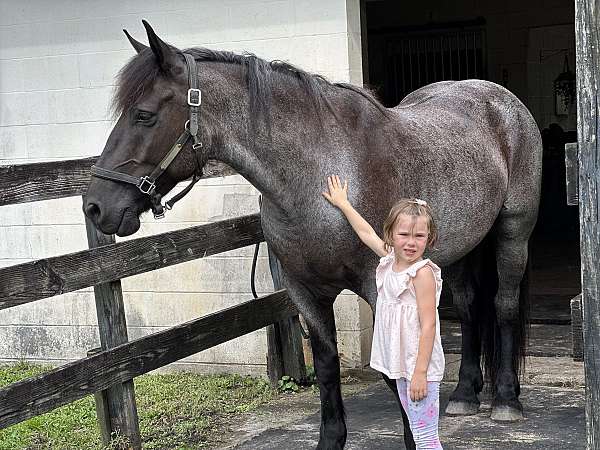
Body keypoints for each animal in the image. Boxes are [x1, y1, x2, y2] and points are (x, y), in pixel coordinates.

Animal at [83, 22, 544, 450]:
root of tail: (499, 101)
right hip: (461, 247)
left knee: (502, 305)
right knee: (468, 307)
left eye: (144, 114)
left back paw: (506, 400)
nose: (96, 207)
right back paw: (465, 394)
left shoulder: (379, 288)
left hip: (513, 232)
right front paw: (331, 438)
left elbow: (394, 372)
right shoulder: (303, 291)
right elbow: (326, 365)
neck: (322, 173)